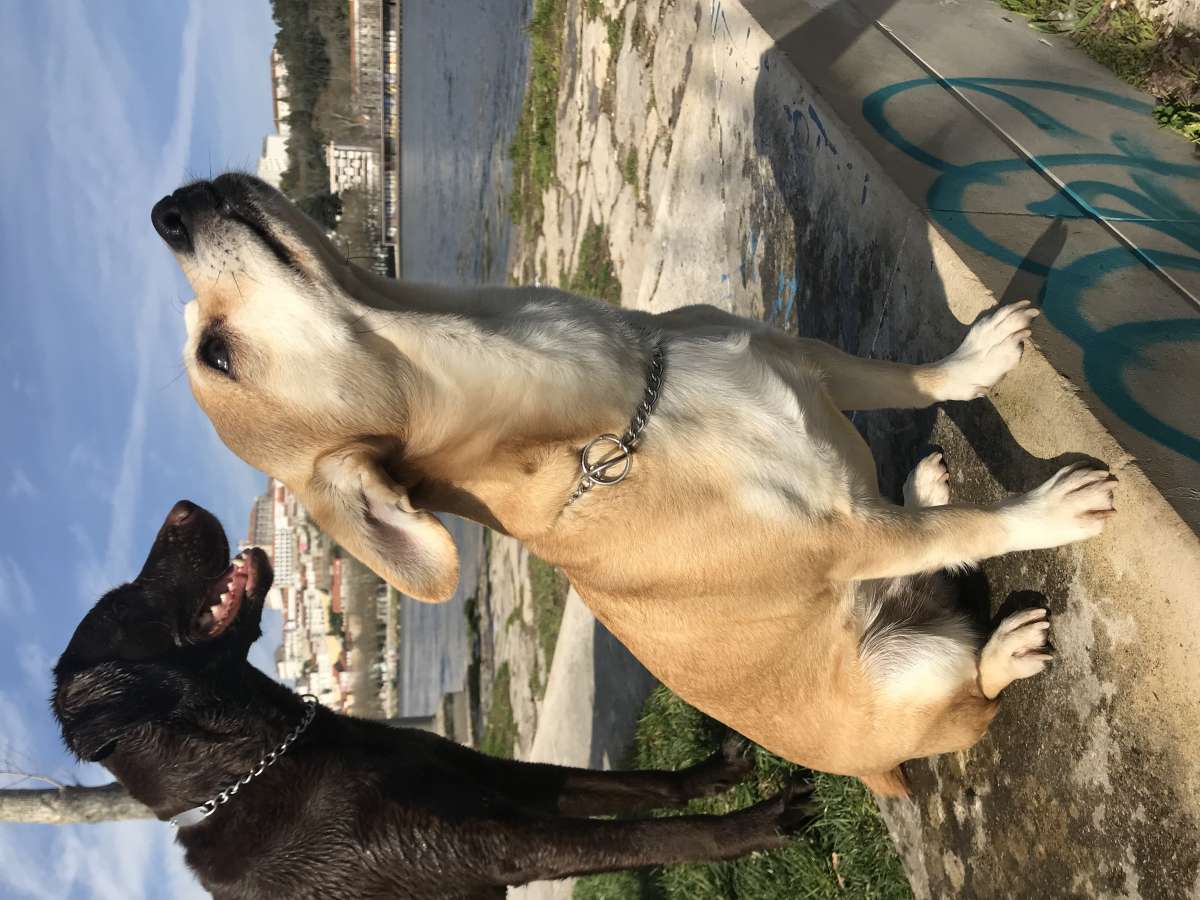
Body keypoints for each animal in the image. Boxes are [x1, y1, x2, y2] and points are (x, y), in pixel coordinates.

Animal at [51, 504, 811, 897]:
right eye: (125, 602)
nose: (181, 508)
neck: (265, 758)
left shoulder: (498, 780)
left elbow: (633, 787)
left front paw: (712, 775)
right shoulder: (504, 844)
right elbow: (646, 835)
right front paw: (757, 823)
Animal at [150, 176, 1113, 796]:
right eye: (216, 354)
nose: (165, 212)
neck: (616, 406)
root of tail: (873, 774)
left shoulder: (806, 361)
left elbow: (906, 380)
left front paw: (972, 361)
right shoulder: (847, 536)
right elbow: (977, 529)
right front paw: (1045, 511)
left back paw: (926, 485)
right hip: (906, 667)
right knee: (970, 692)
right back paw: (1004, 646)